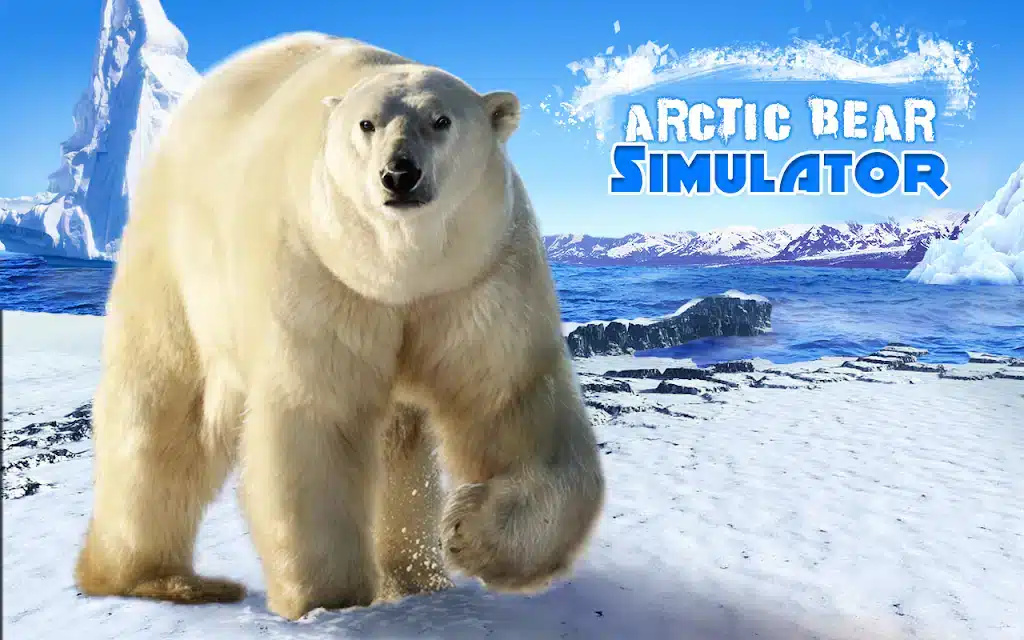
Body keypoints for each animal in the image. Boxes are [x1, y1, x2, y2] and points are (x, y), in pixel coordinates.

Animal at [73, 31, 606, 621]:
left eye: (441, 119)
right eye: (367, 124)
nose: (399, 174)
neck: (398, 273)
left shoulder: (475, 278)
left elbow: (511, 398)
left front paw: (470, 531)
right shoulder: (318, 272)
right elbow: (316, 416)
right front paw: (329, 600)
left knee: (397, 445)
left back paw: (416, 579)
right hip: (180, 271)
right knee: (162, 412)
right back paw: (162, 579)